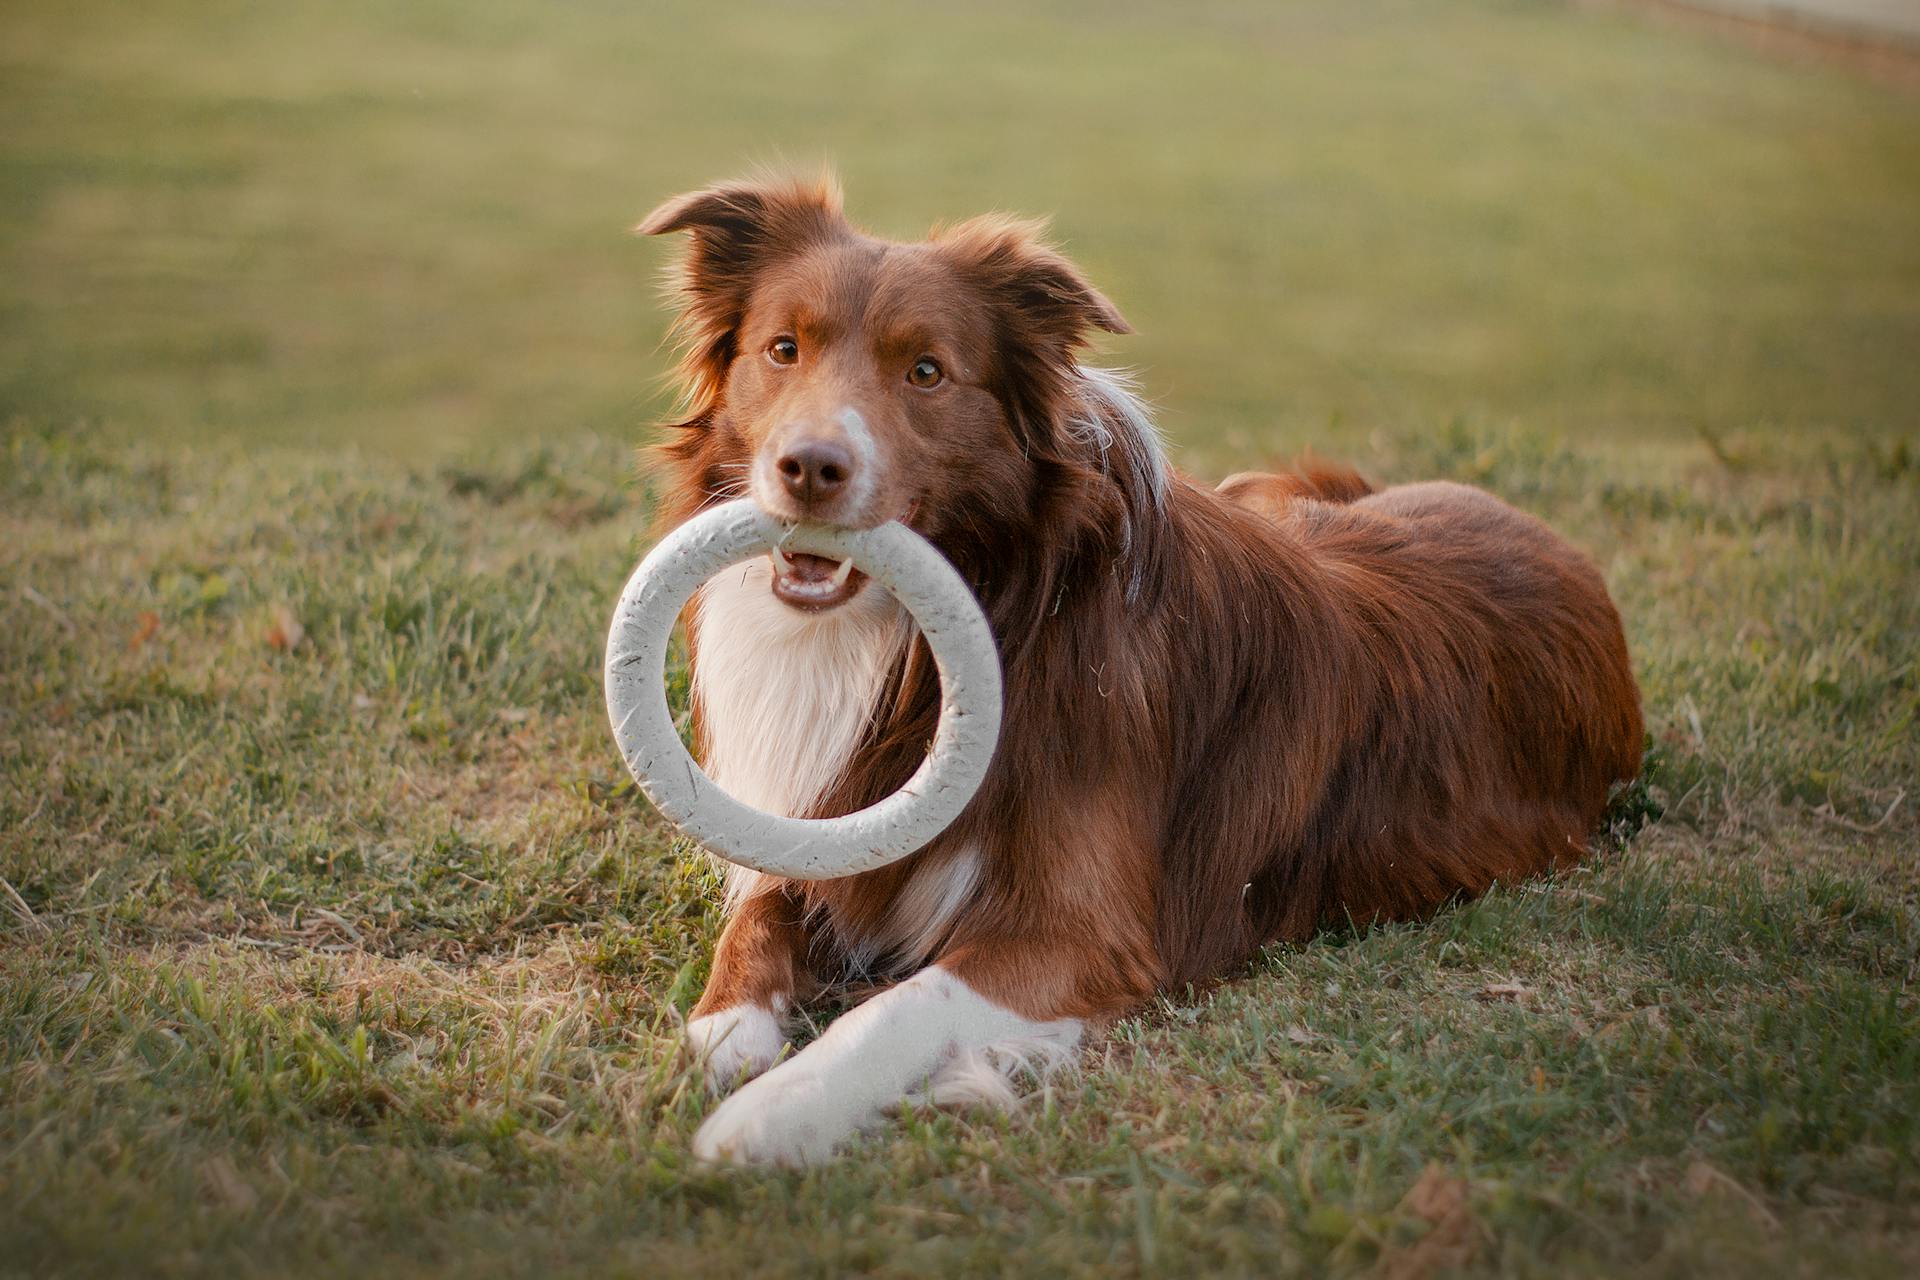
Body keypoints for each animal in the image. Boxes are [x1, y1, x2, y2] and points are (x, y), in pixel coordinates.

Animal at [637, 175, 1643, 1166]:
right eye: (783, 350)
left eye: (926, 371)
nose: (809, 467)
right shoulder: (833, 824)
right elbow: (756, 920)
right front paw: (724, 1035)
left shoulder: (1083, 936)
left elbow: (895, 1011)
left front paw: (771, 1116)